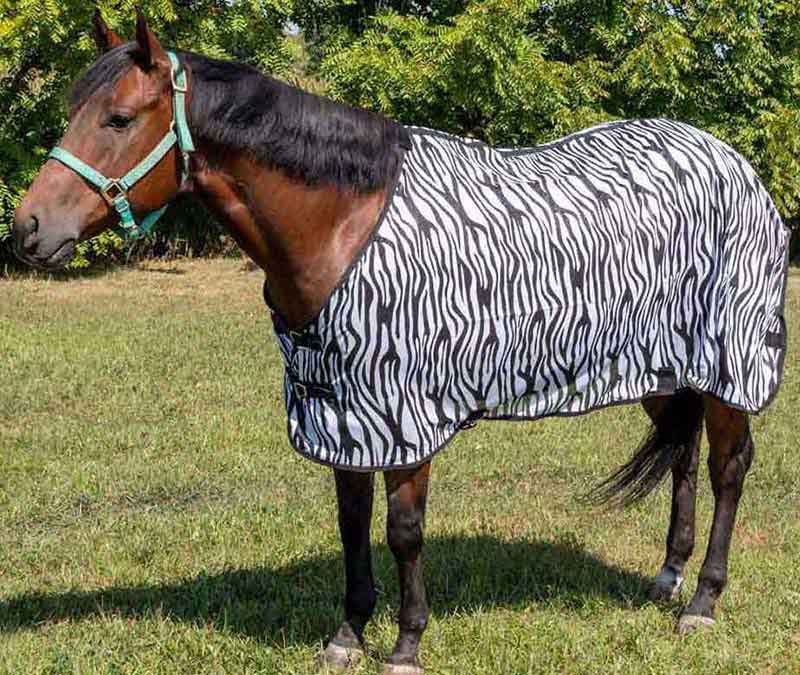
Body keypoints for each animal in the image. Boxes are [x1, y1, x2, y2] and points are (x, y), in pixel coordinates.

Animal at [12, 10, 789, 674]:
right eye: (73, 112)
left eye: (117, 118)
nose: (27, 228)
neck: (344, 221)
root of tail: (735, 163)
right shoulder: (341, 413)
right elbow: (352, 524)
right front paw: (348, 633)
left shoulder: (404, 414)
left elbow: (404, 531)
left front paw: (407, 642)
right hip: (664, 371)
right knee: (683, 456)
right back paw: (668, 575)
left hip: (730, 366)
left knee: (727, 468)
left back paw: (702, 601)